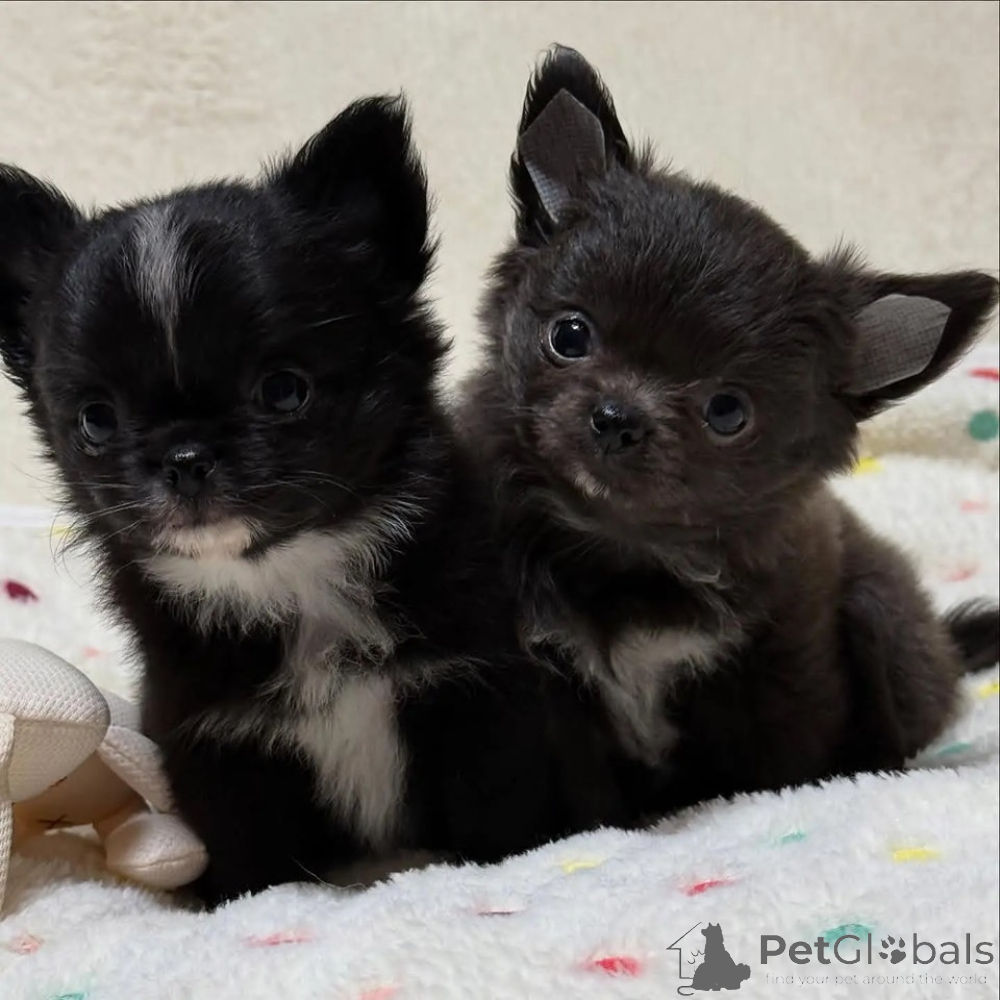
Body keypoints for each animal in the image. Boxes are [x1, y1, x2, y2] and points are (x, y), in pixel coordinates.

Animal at [0, 95, 626, 905]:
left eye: (284, 390)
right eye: (95, 420)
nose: (184, 457)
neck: (291, 572)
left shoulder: (474, 695)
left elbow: (495, 815)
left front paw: (506, 871)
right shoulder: (217, 743)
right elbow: (247, 863)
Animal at [460, 46, 1000, 817]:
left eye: (727, 412)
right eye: (570, 336)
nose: (618, 417)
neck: (625, 555)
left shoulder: (782, 662)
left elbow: (777, 760)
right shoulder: (548, 680)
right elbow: (588, 797)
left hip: (883, 615)